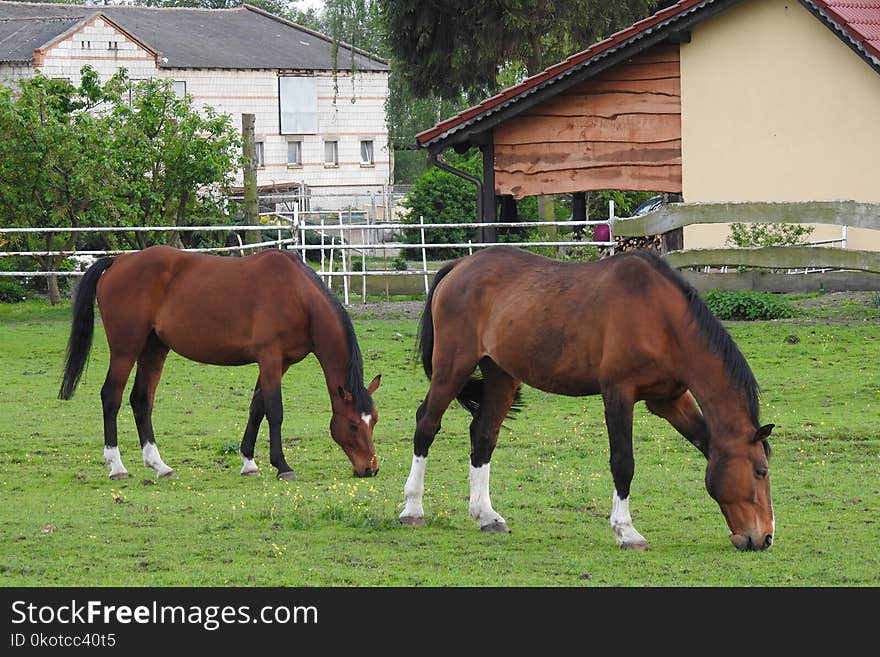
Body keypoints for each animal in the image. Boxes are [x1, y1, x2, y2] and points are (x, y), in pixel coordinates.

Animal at [57, 243, 382, 480]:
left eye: (374, 421)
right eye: (353, 425)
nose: (370, 469)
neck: (298, 297)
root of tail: (119, 261)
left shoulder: (281, 363)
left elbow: (257, 407)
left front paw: (249, 462)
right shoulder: (270, 357)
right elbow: (274, 410)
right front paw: (282, 466)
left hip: (154, 348)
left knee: (141, 400)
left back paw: (159, 465)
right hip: (126, 349)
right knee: (111, 397)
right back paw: (117, 466)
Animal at [402, 243, 772, 552]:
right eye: (760, 471)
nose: (765, 537)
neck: (661, 317)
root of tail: (460, 265)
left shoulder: (669, 400)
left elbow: (704, 441)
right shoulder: (618, 394)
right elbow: (623, 463)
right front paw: (626, 531)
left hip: (501, 376)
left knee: (483, 435)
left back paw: (486, 515)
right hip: (452, 368)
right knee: (426, 424)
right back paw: (412, 509)